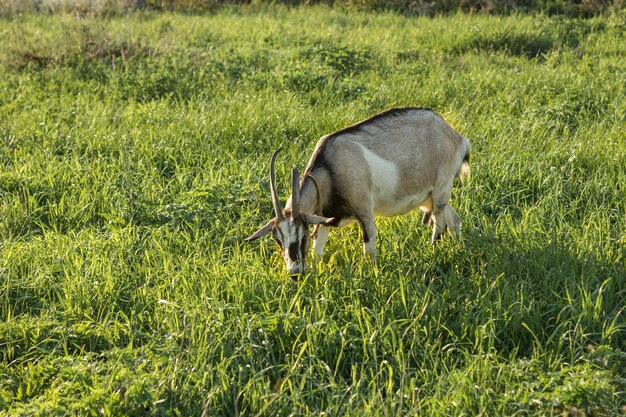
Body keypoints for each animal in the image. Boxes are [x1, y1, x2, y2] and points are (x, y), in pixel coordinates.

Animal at [244, 107, 468, 276]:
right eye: (276, 238)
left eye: (302, 234)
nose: (294, 273)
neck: (330, 168)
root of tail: (456, 137)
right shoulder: (325, 218)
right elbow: (318, 251)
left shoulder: (364, 211)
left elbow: (369, 249)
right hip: (430, 198)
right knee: (454, 220)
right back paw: (457, 249)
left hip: (440, 190)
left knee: (440, 225)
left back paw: (434, 253)